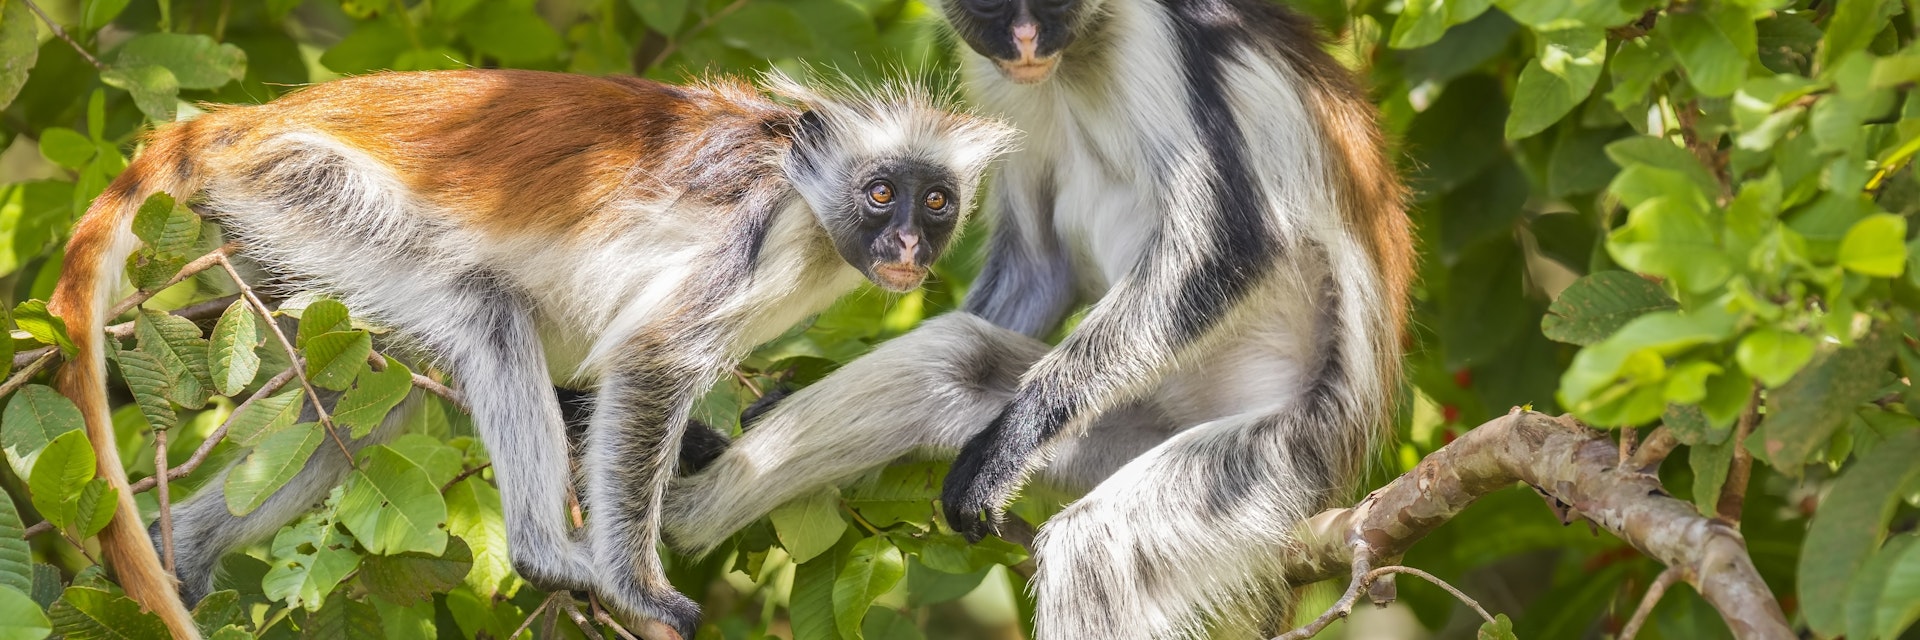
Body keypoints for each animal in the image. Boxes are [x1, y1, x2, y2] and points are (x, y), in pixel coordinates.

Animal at [52, 69, 1021, 638]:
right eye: (882, 193)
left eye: (935, 201)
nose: (907, 244)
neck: (809, 195)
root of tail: (242, 123)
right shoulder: (761, 230)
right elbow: (651, 360)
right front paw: (638, 587)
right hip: (304, 186)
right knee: (484, 311)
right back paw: (544, 554)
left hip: (289, 245)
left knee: (370, 406)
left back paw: (184, 552)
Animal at [668, 0, 1420, 634]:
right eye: (994, 8)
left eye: (1055, 5)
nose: (1028, 43)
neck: (1079, 54)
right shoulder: (994, 72)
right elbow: (1038, 265)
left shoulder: (1158, 34)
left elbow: (1231, 241)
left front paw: (1011, 440)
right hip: (1125, 425)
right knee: (953, 360)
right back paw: (676, 511)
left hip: (1280, 448)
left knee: (1094, 552)